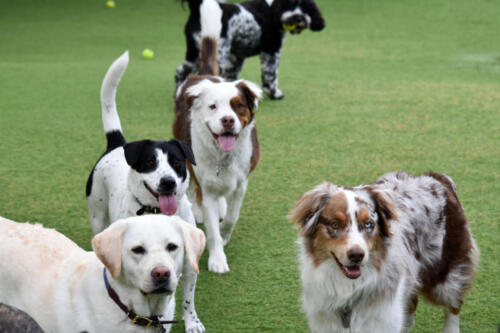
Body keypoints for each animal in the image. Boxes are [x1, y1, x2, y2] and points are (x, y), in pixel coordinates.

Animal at [86, 50, 205, 330]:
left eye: (176, 162)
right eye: (150, 162)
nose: (168, 182)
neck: (157, 213)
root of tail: (117, 144)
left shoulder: (189, 267)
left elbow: (188, 299)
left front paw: (192, 322)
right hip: (97, 214)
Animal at [174, 0, 262, 272]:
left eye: (238, 106)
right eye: (213, 107)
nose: (228, 120)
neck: (224, 157)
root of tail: (202, 74)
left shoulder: (242, 182)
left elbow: (232, 216)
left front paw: (224, 233)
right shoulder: (206, 182)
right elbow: (210, 223)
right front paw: (217, 259)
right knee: (194, 187)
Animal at [175, 0, 324, 98]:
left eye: (306, 7)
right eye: (291, 4)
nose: (298, 18)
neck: (274, 9)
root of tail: (198, 9)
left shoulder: (237, 57)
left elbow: (231, 76)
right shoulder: (271, 51)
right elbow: (271, 75)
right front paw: (274, 93)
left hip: (194, 52)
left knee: (182, 72)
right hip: (217, 52)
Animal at [292, 171, 478, 332]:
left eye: (368, 224)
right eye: (335, 224)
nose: (357, 255)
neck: (348, 288)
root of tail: (437, 178)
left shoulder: (381, 317)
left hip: (447, 277)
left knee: (453, 307)